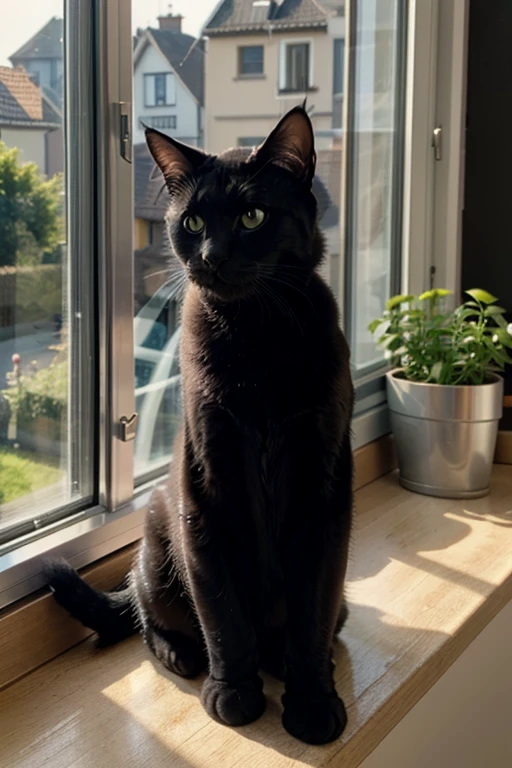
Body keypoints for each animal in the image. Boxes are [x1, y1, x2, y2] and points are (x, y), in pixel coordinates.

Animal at [46, 108, 354, 744]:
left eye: (252, 215)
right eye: (191, 221)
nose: (210, 255)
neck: (258, 336)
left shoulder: (325, 490)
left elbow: (311, 611)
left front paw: (313, 703)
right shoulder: (206, 488)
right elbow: (222, 612)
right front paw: (232, 693)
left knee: (323, 619)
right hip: (159, 545)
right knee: (147, 614)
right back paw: (179, 654)